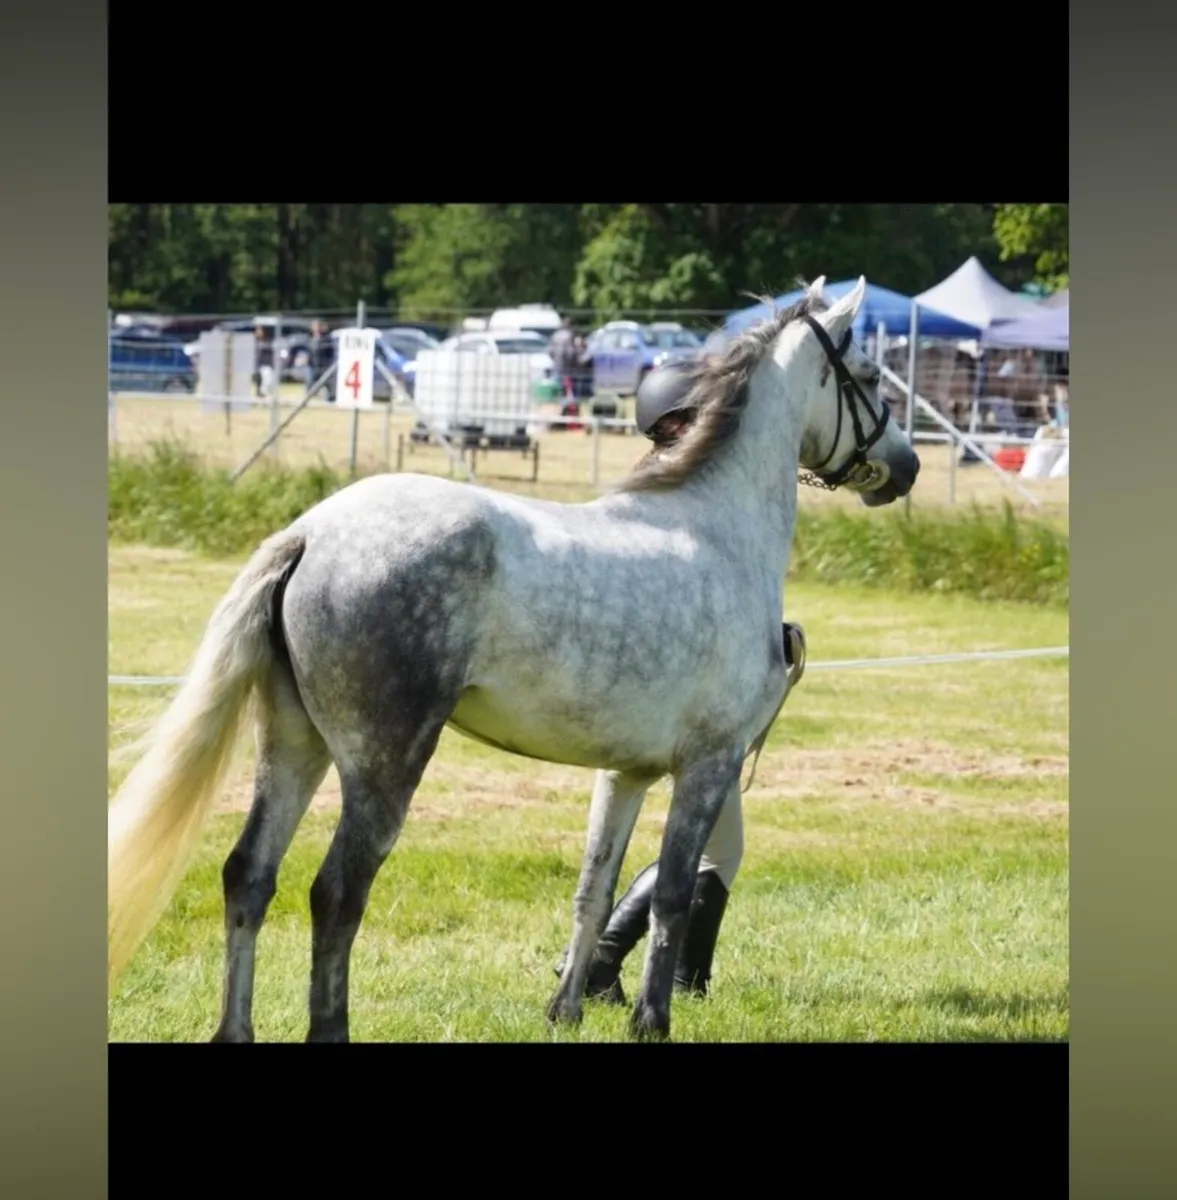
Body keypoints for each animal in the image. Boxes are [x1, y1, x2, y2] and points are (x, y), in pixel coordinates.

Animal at [107, 275, 921, 1043]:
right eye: (869, 374)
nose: (906, 466)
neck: (716, 531)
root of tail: (310, 532)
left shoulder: (625, 774)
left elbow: (595, 885)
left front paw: (566, 1010)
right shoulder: (708, 766)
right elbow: (672, 895)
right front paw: (651, 1021)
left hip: (292, 744)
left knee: (249, 876)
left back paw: (234, 1028)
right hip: (381, 766)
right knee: (336, 893)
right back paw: (330, 1027)